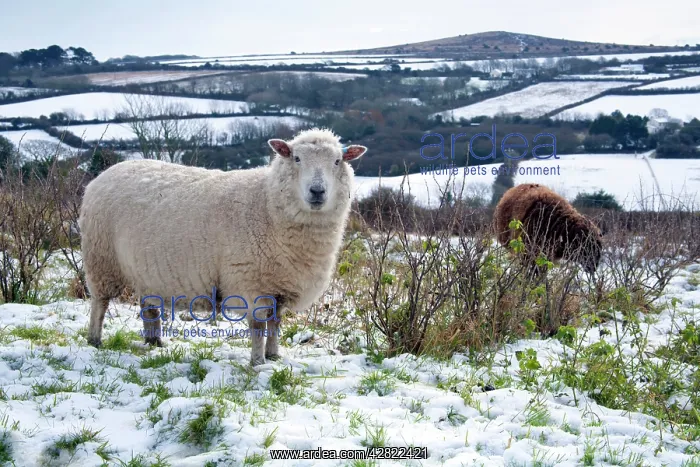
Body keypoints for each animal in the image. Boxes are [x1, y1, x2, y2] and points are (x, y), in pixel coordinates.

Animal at [79, 128, 367, 366]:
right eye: (296, 158)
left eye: (337, 161)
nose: (317, 191)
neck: (267, 204)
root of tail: (100, 177)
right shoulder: (251, 281)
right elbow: (258, 326)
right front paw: (257, 362)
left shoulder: (279, 285)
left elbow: (275, 324)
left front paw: (273, 356)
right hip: (101, 258)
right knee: (100, 302)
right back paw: (95, 340)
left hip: (145, 270)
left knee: (149, 305)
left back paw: (154, 342)